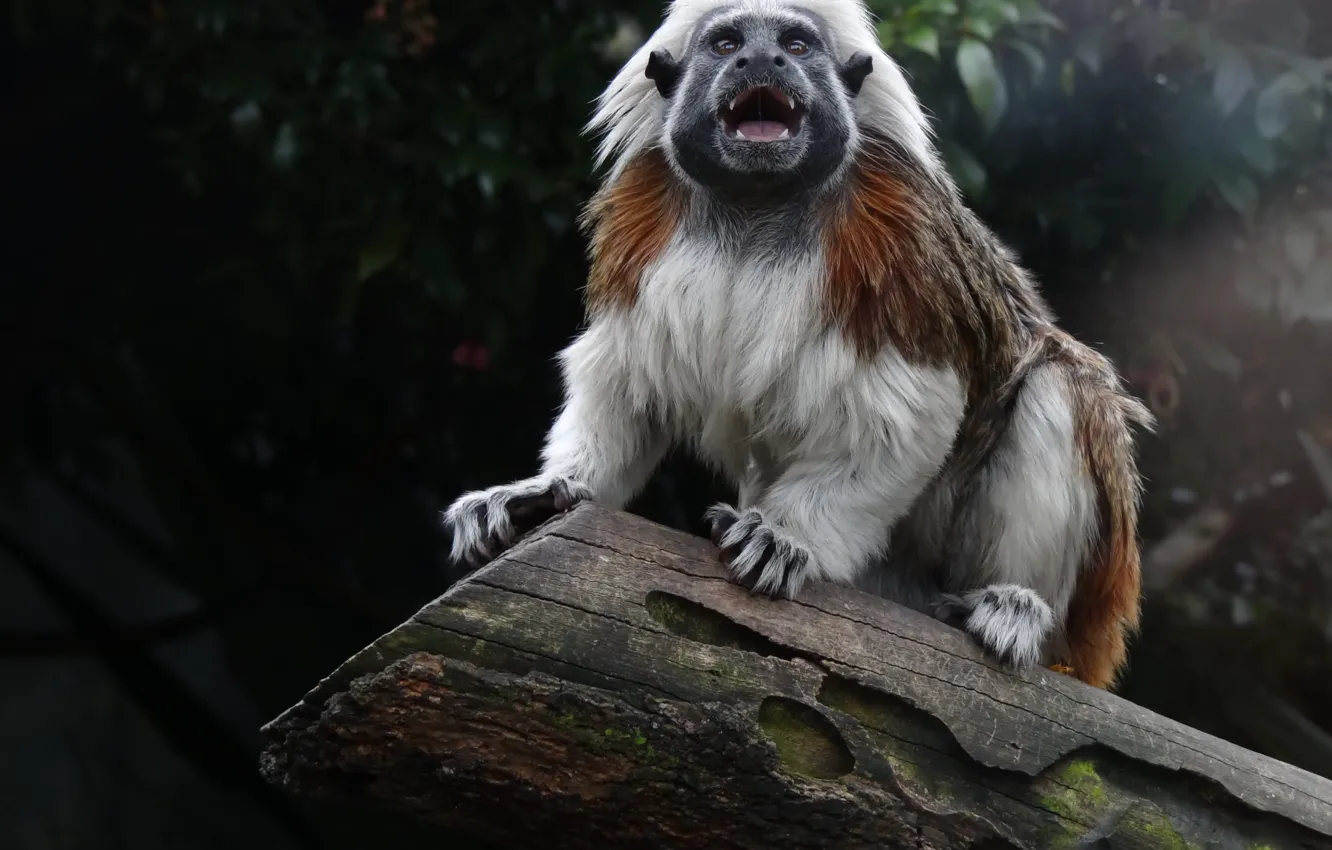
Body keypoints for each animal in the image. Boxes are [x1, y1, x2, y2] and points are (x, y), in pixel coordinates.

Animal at [441, 0, 1155, 690]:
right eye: (727, 45)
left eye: (795, 45)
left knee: (1059, 383)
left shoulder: (898, 229)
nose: (761, 60)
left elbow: (905, 413)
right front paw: (549, 489)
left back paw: (1016, 607)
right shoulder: (644, 221)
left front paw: (783, 538)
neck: (757, 208)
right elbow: (627, 381)